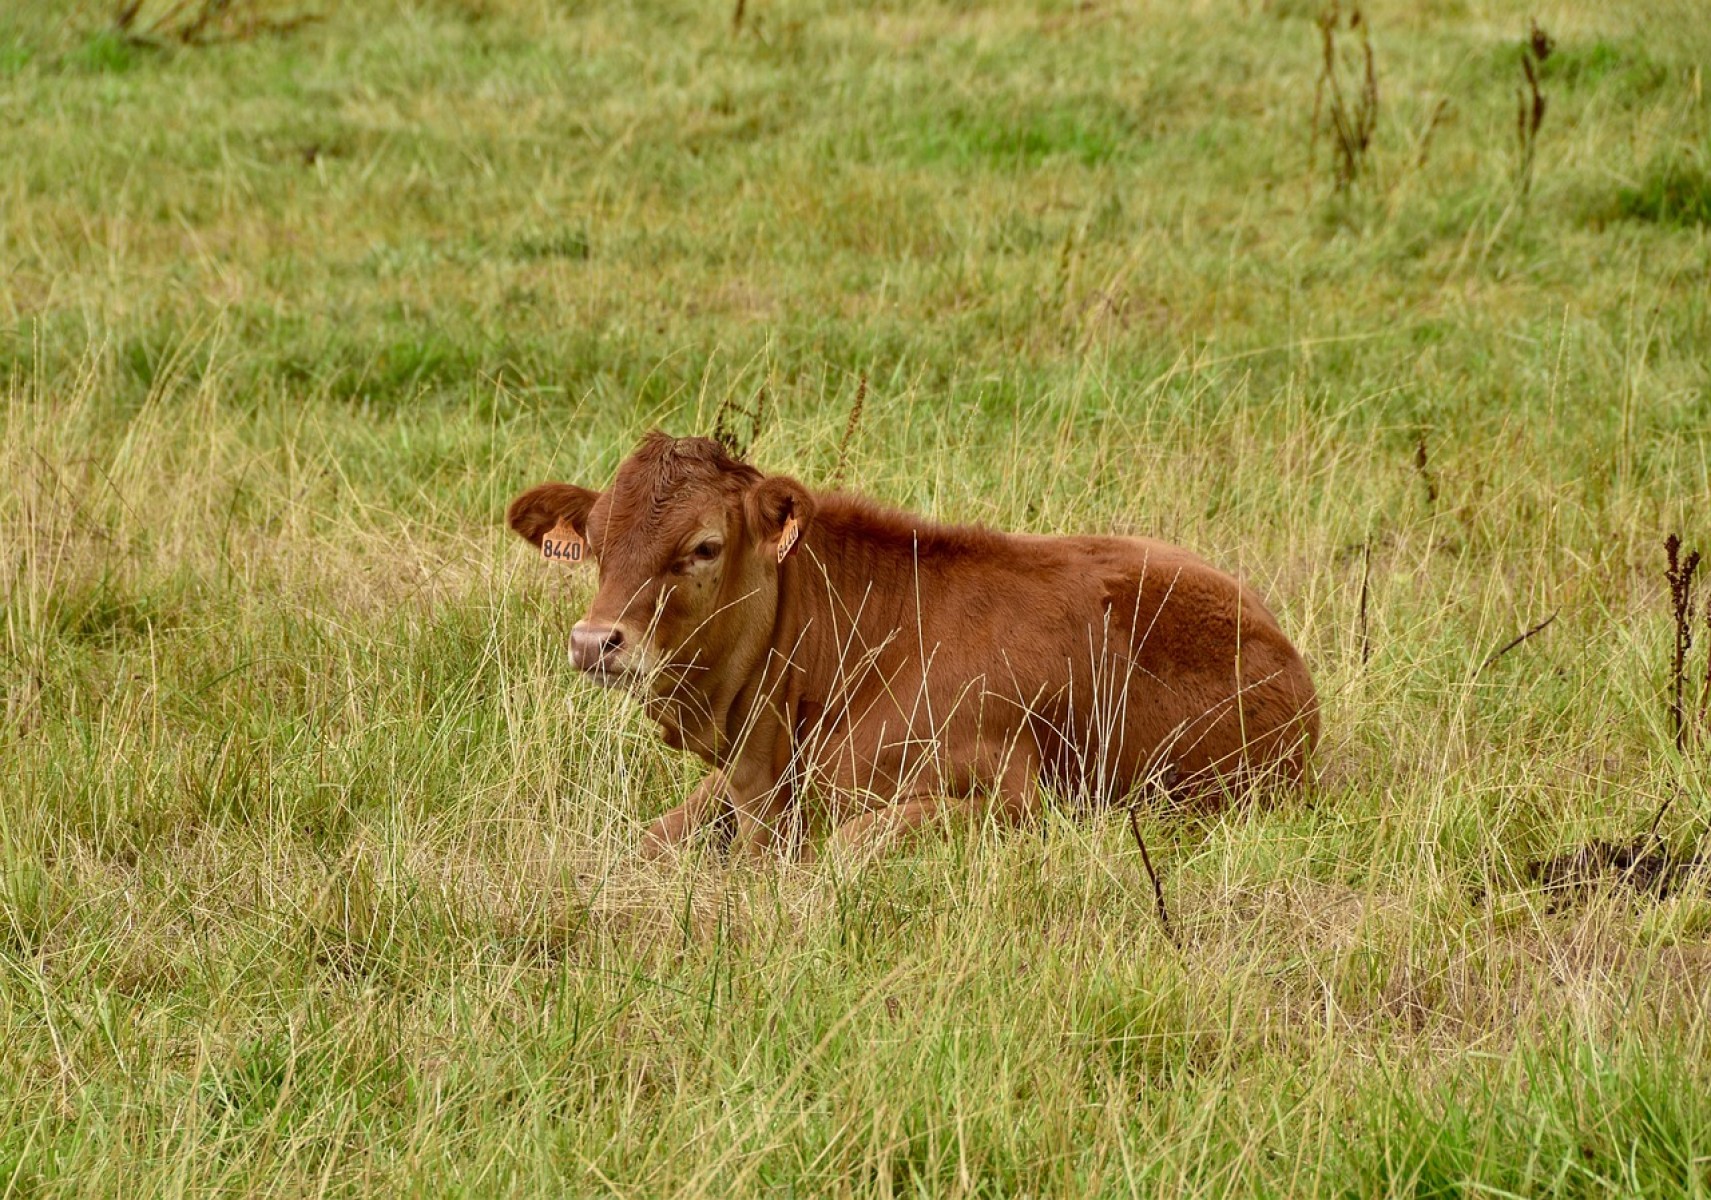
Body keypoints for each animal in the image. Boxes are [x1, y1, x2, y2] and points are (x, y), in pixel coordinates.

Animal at [506, 434, 1320, 855]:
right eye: (595, 543)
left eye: (704, 546)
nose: (594, 642)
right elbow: (648, 837)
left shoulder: (1013, 796)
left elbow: (845, 847)